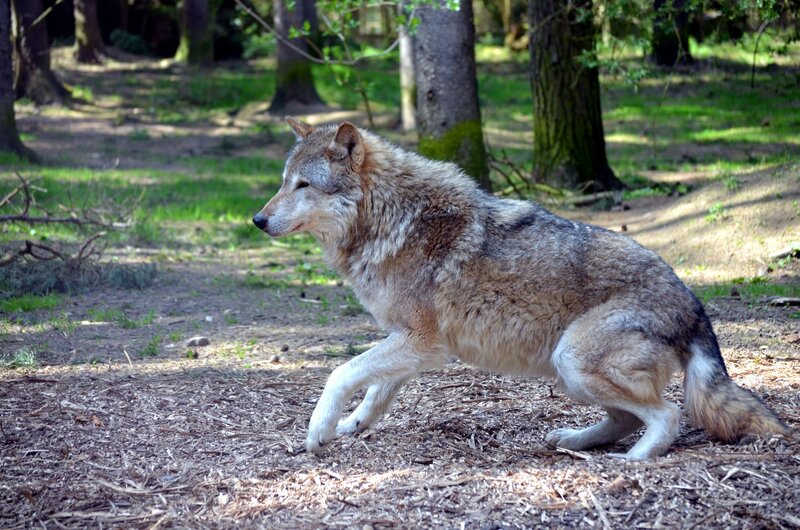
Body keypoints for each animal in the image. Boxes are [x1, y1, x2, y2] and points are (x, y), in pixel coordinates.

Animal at [252, 118, 790, 460]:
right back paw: (573, 441)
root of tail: (695, 303)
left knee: (666, 416)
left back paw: (629, 462)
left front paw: (319, 431)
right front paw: (350, 426)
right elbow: (375, 392)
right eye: (282, 182)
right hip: (568, 372)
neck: (391, 219)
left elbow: (341, 373)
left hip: (573, 360)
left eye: (303, 185)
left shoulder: (420, 342)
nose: (256, 220)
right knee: (628, 420)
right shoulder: (411, 344)